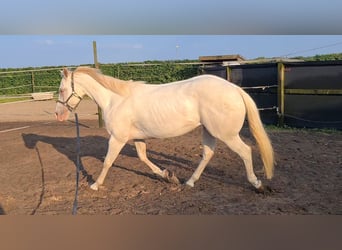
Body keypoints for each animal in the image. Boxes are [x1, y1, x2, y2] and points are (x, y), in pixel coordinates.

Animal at [56, 66, 276, 191]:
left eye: (61, 89)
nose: (58, 114)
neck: (116, 99)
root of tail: (235, 89)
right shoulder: (138, 138)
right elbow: (143, 157)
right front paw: (168, 176)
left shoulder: (117, 138)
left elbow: (108, 162)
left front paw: (94, 185)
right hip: (209, 131)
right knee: (207, 154)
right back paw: (189, 182)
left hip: (226, 134)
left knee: (245, 151)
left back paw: (257, 184)